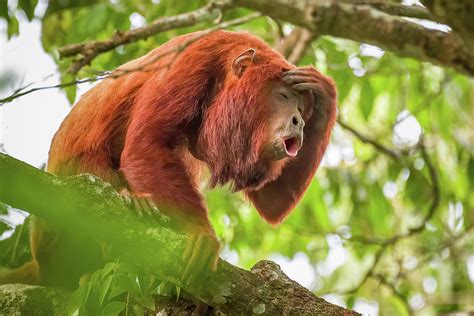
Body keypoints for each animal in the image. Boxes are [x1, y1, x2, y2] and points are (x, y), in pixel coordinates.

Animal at [2, 30, 336, 288]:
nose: (299, 122)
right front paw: (200, 233)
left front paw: (325, 93)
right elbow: (144, 144)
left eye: (303, 108)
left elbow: (271, 201)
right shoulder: (190, 62)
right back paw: (133, 202)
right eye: (283, 96)